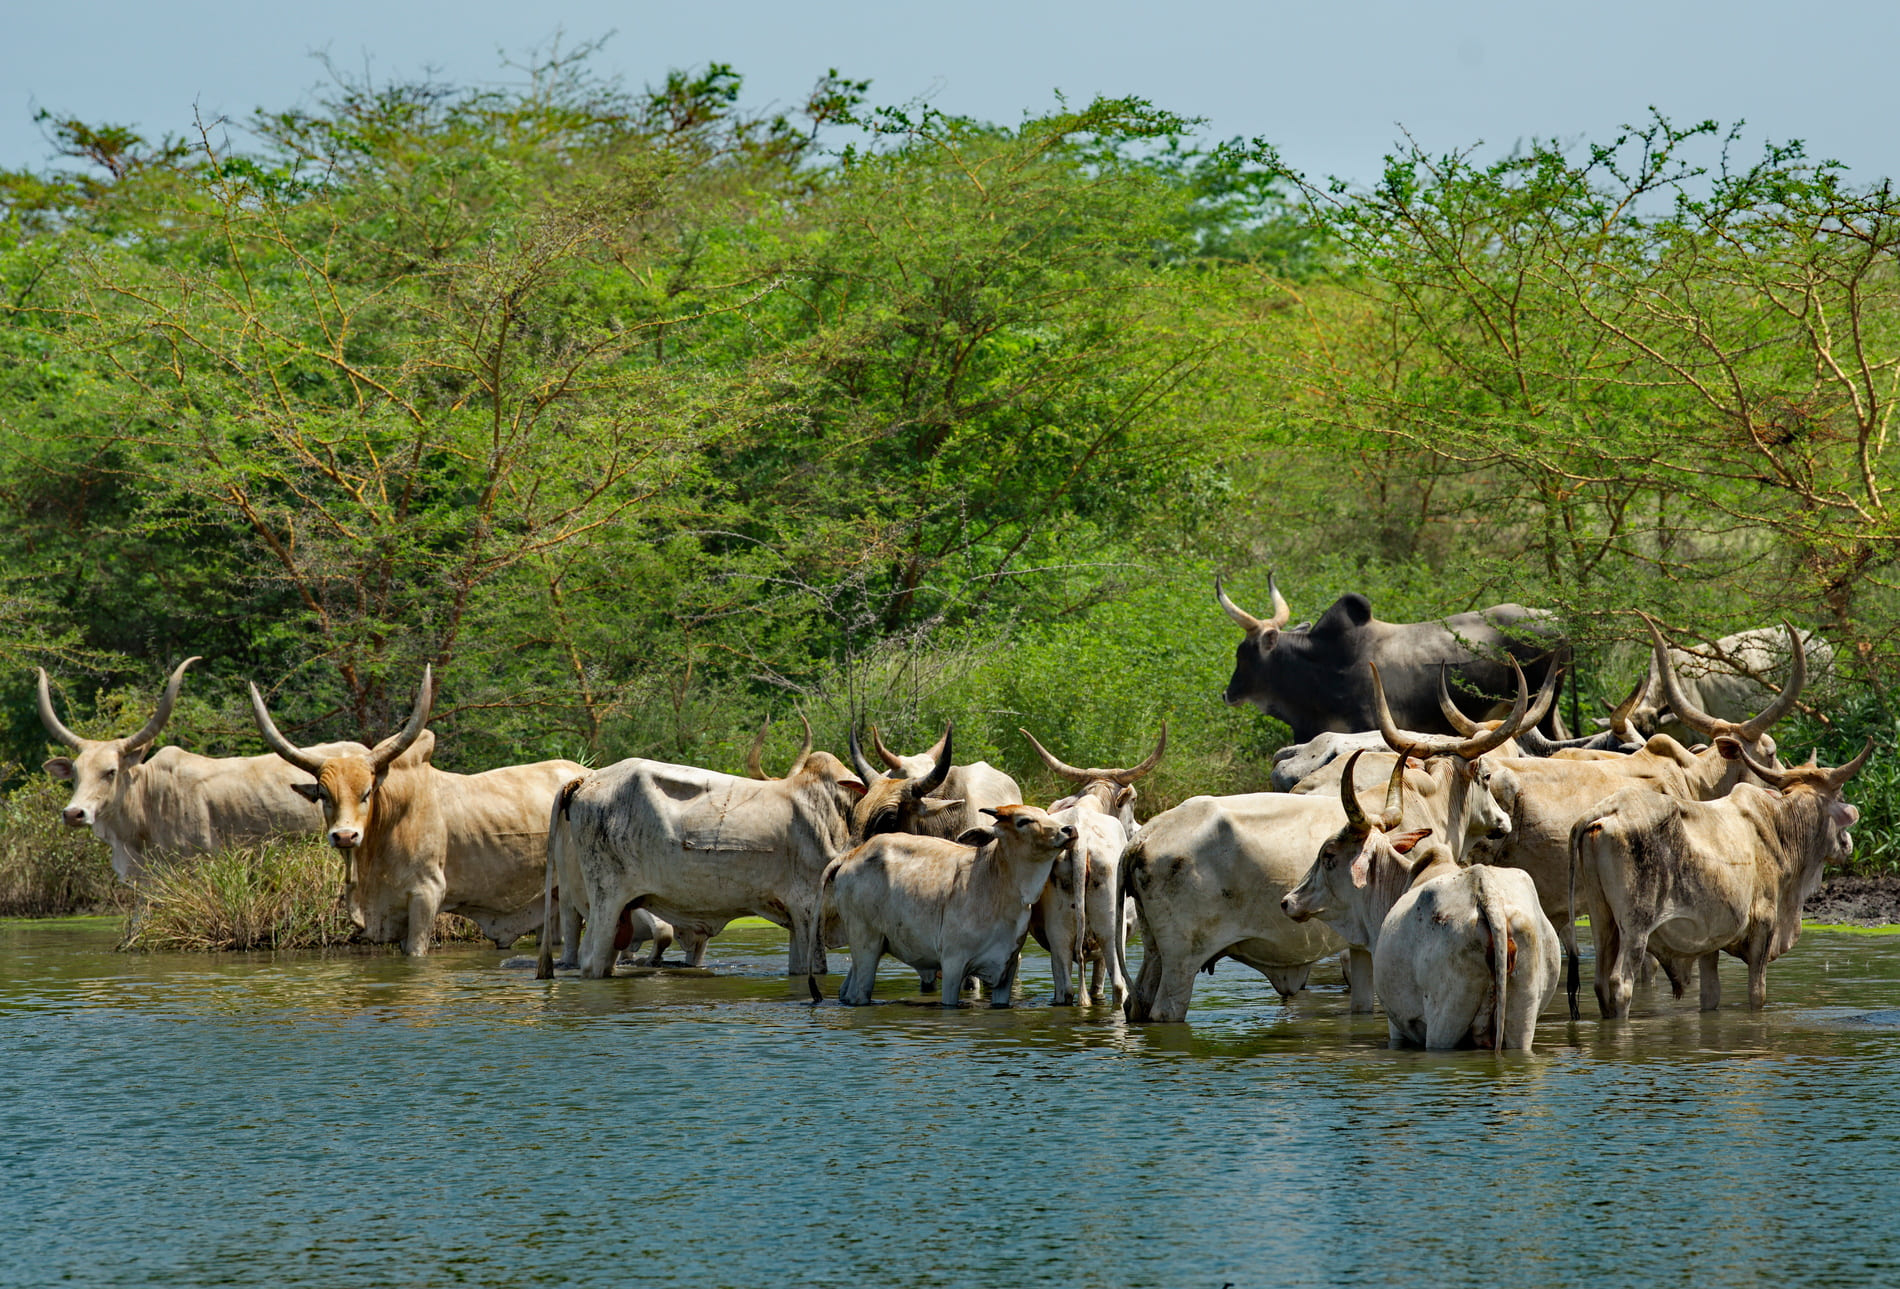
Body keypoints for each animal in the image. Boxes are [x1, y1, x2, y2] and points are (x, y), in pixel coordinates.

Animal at [824, 806, 1079, 1011]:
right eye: (1023, 821)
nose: (1069, 829)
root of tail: (852, 855)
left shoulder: (1006, 968)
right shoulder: (953, 964)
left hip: (868, 947)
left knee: (847, 990)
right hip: (865, 942)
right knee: (859, 993)